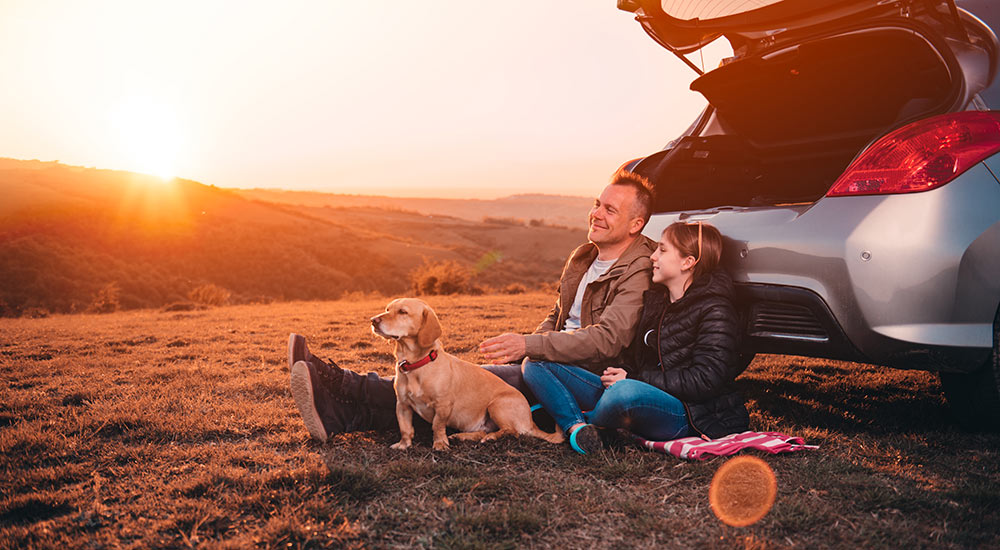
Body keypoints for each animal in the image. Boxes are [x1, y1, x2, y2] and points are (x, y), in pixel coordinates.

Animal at [372, 300, 568, 450]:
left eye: (403, 312)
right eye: (388, 309)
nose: (373, 320)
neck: (417, 364)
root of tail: (530, 421)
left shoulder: (443, 405)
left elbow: (437, 425)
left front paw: (440, 444)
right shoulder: (402, 405)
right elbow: (405, 428)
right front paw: (403, 445)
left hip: (497, 405)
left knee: (511, 431)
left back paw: (491, 437)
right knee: (484, 431)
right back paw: (464, 436)